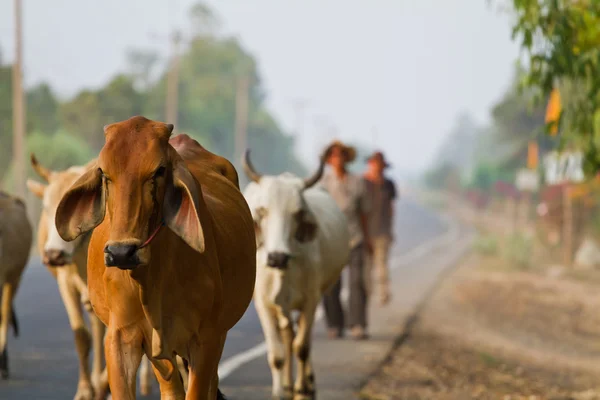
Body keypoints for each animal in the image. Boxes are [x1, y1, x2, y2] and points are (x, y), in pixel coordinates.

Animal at [241, 152, 350, 398]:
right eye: (262, 211)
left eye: (298, 213)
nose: (277, 257)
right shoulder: (263, 304)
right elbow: (277, 355)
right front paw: (279, 391)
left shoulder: (311, 300)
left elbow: (302, 347)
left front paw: (302, 388)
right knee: (288, 335)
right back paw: (287, 384)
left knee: (300, 338)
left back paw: (305, 382)